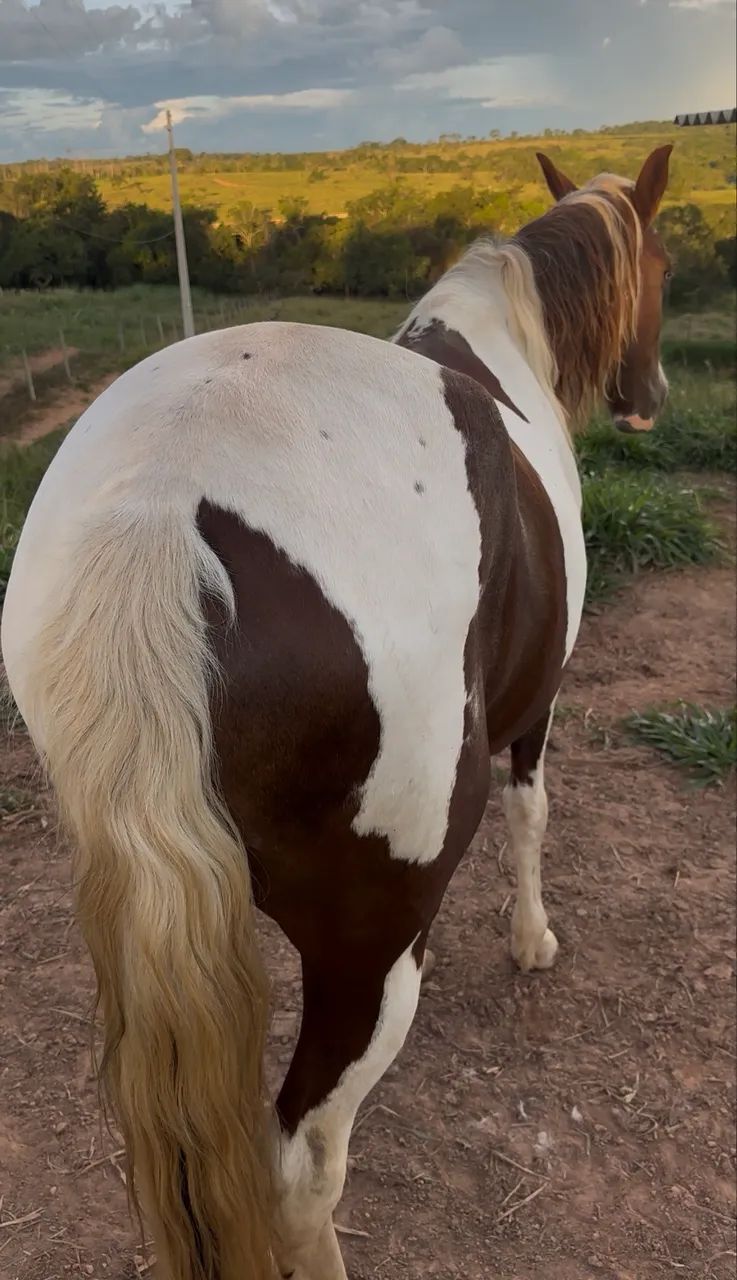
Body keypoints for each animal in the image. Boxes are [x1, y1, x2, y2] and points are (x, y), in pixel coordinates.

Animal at [1, 144, 672, 1280]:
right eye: (663, 268)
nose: (649, 398)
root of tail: (163, 506)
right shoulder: (537, 704)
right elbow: (532, 813)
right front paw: (531, 939)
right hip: (366, 951)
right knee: (299, 1164)